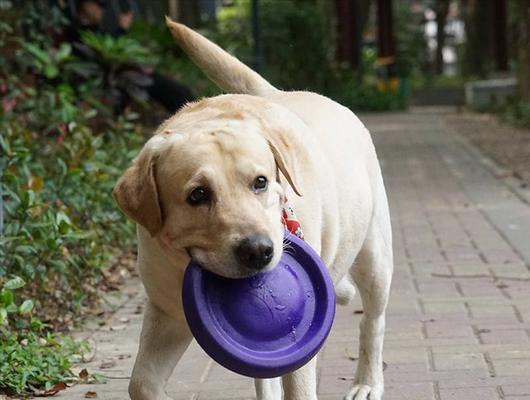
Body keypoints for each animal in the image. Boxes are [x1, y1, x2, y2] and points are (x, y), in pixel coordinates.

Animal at [112, 17, 392, 398]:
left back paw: (367, 381)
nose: (259, 251)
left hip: (375, 255)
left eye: (260, 182)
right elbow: (141, 381)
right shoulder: (167, 313)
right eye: (197, 195)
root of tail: (278, 93)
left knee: (373, 321)